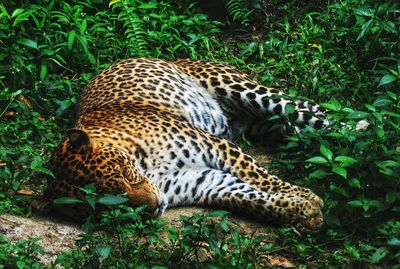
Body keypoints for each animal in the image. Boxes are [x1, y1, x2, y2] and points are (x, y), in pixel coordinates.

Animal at [47, 57, 334, 231]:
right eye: (106, 209)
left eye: (124, 176)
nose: (154, 206)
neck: (147, 168)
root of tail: (173, 59)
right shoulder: (203, 181)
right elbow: (250, 198)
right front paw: (304, 210)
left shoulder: (216, 146)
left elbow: (261, 177)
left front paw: (307, 196)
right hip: (262, 124)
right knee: (293, 124)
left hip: (243, 90)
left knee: (306, 110)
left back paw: (345, 131)